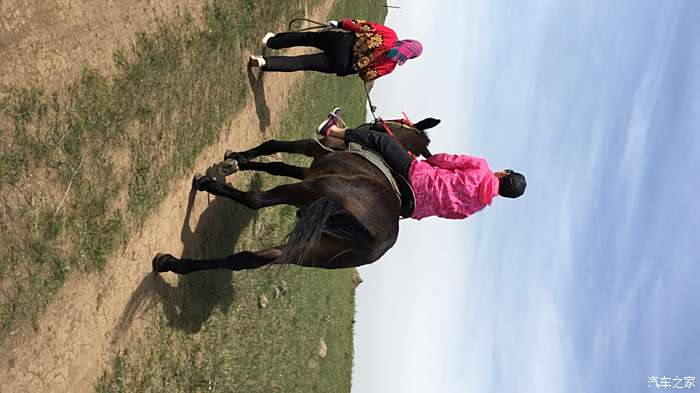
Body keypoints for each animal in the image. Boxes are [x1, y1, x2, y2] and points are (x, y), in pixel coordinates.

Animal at [153, 121, 432, 274]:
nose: (367, 127)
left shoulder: (310, 150)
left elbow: (273, 146)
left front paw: (235, 160)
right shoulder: (311, 165)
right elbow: (277, 165)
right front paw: (237, 160)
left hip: (304, 192)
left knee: (255, 200)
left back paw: (205, 185)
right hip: (312, 251)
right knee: (249, 259)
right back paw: (172, 265)